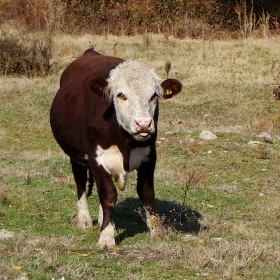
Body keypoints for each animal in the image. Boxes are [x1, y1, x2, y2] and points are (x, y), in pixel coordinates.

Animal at [49, 49, 182, 248]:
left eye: (154, 96)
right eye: (121, 95)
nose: (144, 124)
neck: (124, 142)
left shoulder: (149, 157)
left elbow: (147, 194)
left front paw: (156, 232)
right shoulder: (97, 158)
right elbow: (108, 195)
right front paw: (106, 237)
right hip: (75, 155)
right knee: (80, 181)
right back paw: (84, 219)